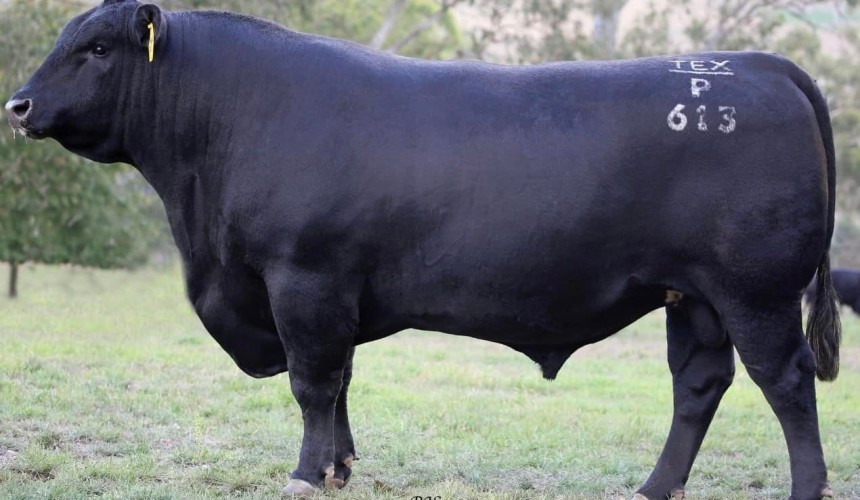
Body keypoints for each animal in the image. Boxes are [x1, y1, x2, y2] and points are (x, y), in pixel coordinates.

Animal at [5, 1, 841, 498]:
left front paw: (306, 473)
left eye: (97, 47)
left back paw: (803, 488)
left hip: (756, 291)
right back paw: (652, 487)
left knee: (786, 382)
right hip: (693, 296)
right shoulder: (333, 292)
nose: (17, 103)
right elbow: (341, 380)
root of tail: (753, 63)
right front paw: (340, 466)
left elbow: (312, 382)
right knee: (699, 384)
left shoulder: (303, 278)